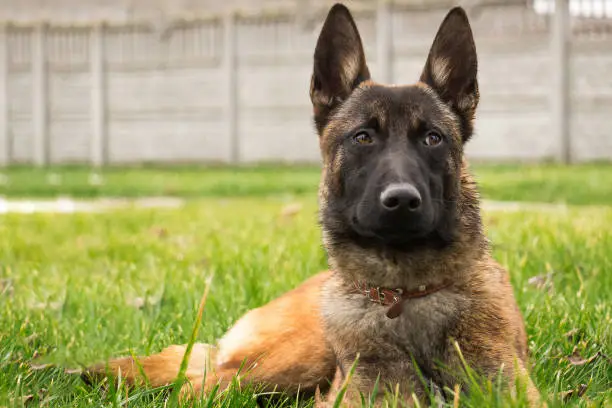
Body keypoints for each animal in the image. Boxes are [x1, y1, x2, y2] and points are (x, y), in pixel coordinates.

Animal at [83, 3, 544, 408]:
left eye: (433, 138)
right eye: (363, 137)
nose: (401, 200)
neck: (405, 294)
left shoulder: (512, 391)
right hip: (291, 362)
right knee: (199, 386)